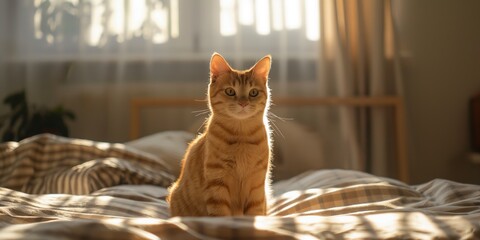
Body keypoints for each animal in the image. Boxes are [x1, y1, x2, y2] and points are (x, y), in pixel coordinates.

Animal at [168, 53, 274, 218]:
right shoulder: (217, 183)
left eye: (253, 92)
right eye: (230, 91)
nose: (243, 103)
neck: (241, 136)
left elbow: (255, 212)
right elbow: (221, 216)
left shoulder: (256, 185)